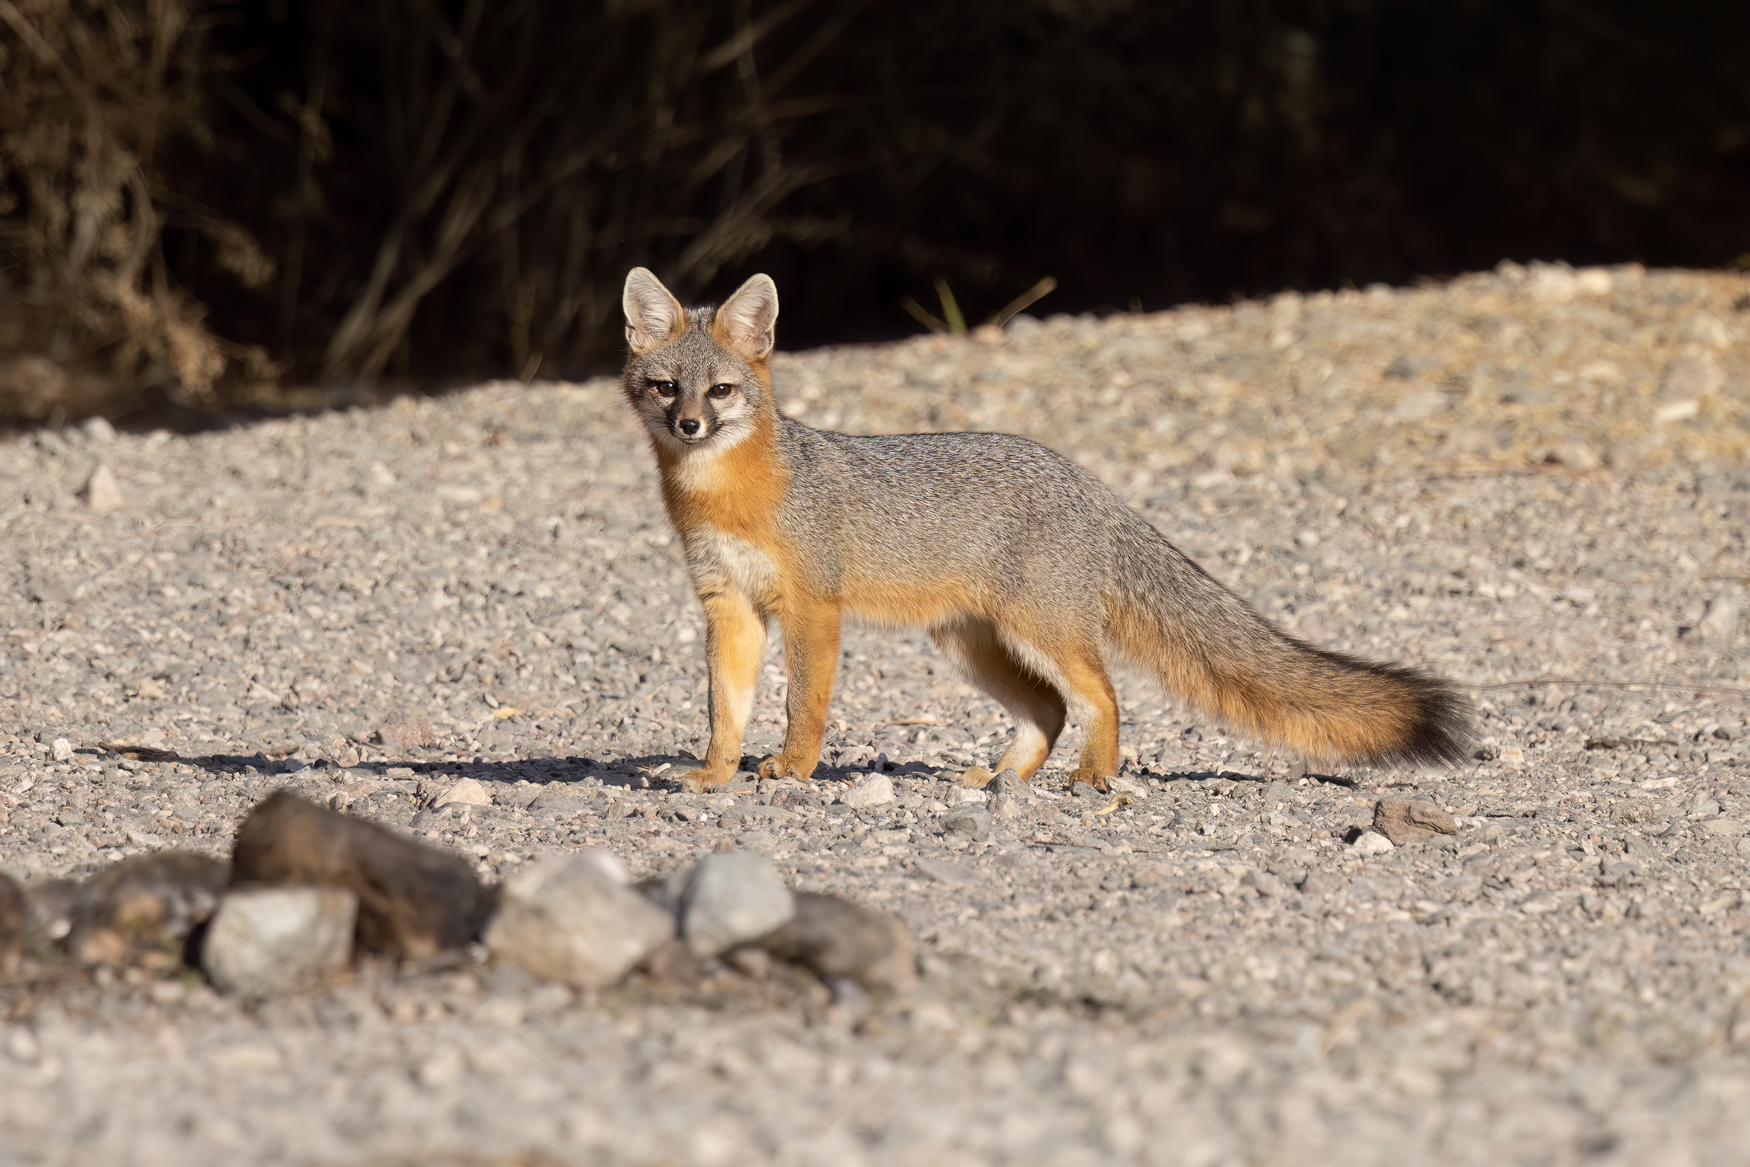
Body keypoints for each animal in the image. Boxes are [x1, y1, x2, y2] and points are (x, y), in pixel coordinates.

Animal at [620, 267, 1472, 794]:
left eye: (721, 390)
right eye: (664, 387)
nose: (689, 424)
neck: (726, 496)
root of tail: (1084, 478)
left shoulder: (812, 609)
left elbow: (805, 704)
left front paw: (793, 767)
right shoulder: (728, 606)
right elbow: (723, 709)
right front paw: (715, 773)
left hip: (1038, 631)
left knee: (1103, 695)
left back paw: (1094, 776)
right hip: (973, 644)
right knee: (1053, 710)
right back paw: (1005, 778)